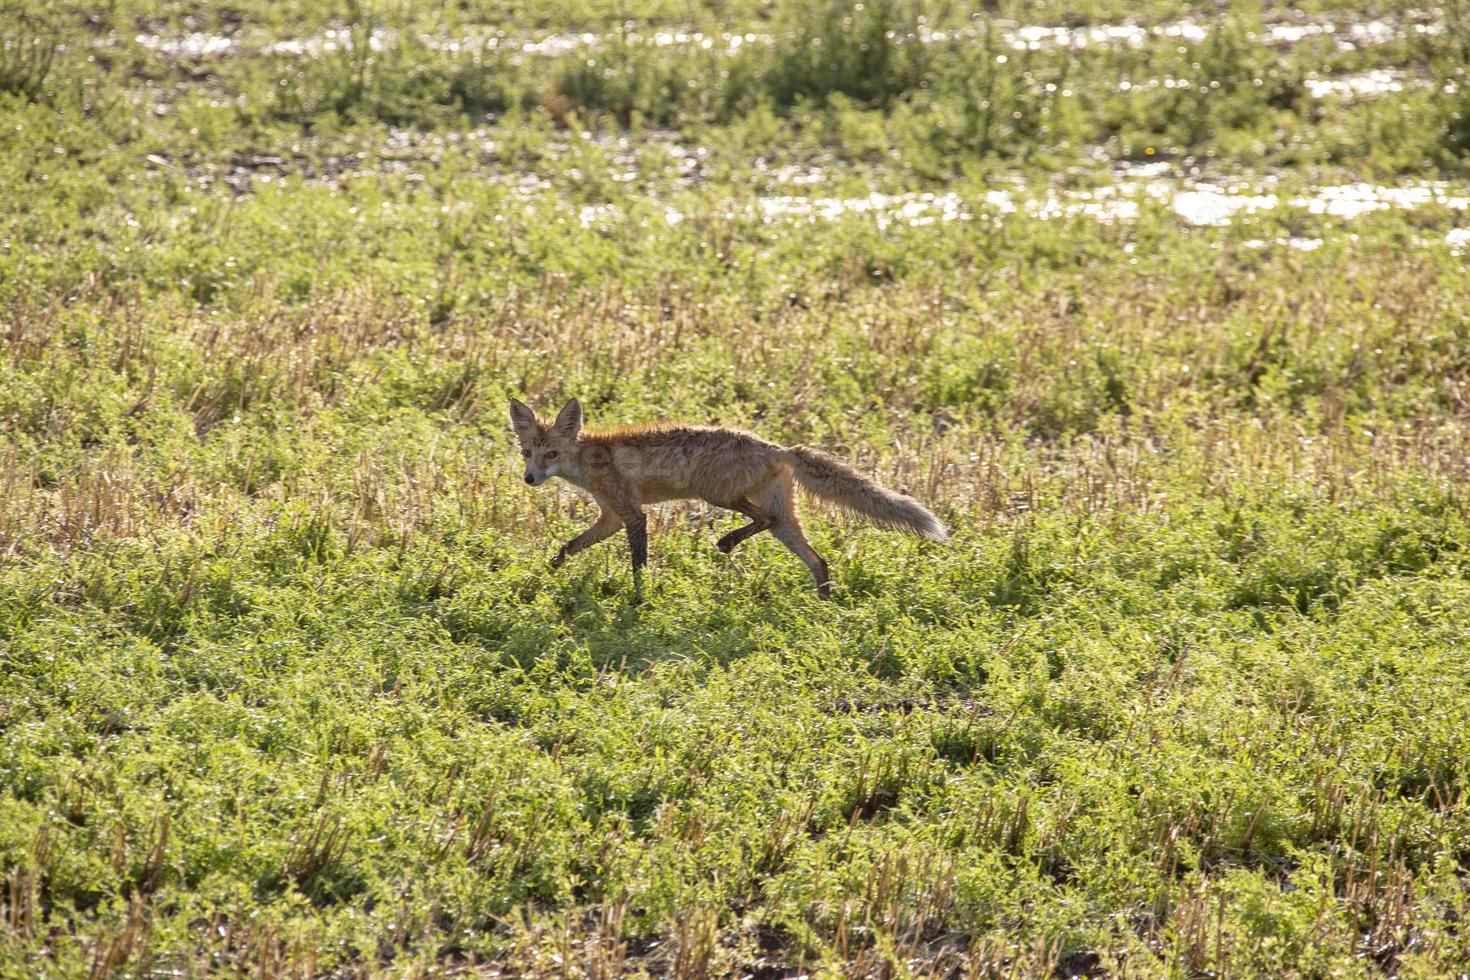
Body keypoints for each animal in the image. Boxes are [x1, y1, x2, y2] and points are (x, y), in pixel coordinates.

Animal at [511, 396, 946, 599]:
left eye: (551, 454)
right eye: (527, 452)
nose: (530, 479)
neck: (590, 460)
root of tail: (778, 448)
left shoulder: (633, 516)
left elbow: (637, 565)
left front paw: (639, 599)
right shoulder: (611, 517)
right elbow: (567, 548)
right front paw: (545, 573)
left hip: (718, 495)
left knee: (763, 520)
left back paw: (726, 542)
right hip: (784, 522)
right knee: (818, 561)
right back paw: (824, 606)